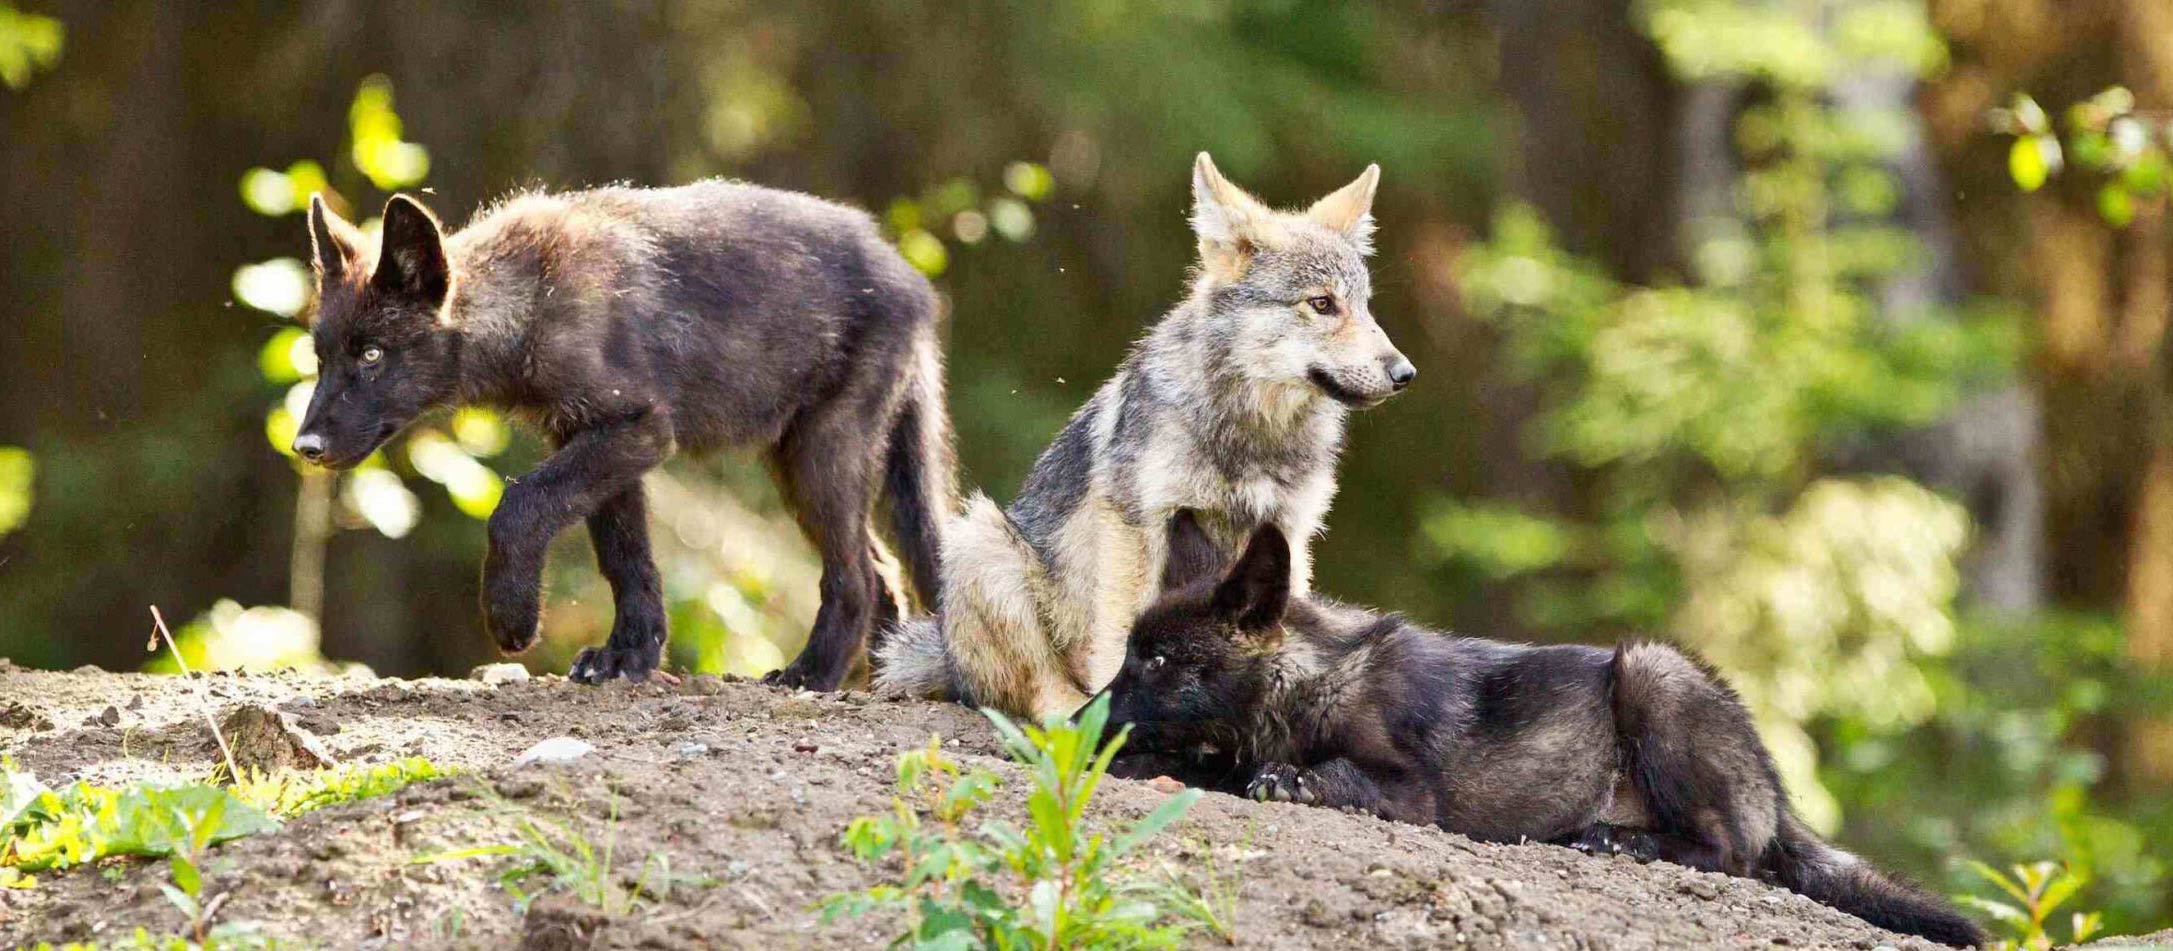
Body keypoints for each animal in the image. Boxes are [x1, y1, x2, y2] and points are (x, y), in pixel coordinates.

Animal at [295, 183, 954, 689]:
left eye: (372, 355)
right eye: (321, 359)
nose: (304, 449)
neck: (534, 302)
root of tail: (911, 279)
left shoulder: (639, 429)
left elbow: (517, 507)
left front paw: (512, 619)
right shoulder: (591, 439)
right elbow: (628, 562)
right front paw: (628, 657)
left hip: (820, 455)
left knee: (860, 576)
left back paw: (811, 675)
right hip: (798, 463)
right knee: (885, 572)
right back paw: (878, 680)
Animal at [875, 154, 1414, 718]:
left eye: (1366, 307)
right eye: (1322, 304)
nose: (1405, 373)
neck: (1249, 436)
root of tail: (946, 657)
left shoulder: (1288, 530)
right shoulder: (1138, 525)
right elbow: (1121, 636)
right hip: (980, 539)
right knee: (1035, 693)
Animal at [1103, 513, 1986, 948]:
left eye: (1158, 661)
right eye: (1128, 653)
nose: (1084, 718)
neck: (1313, 678)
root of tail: (1772, 781)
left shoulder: (1411, 792)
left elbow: (1326, 774)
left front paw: (1290, 777)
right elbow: (1209, 764)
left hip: (1651, 671)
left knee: (1734, 854)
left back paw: (1618, 840)